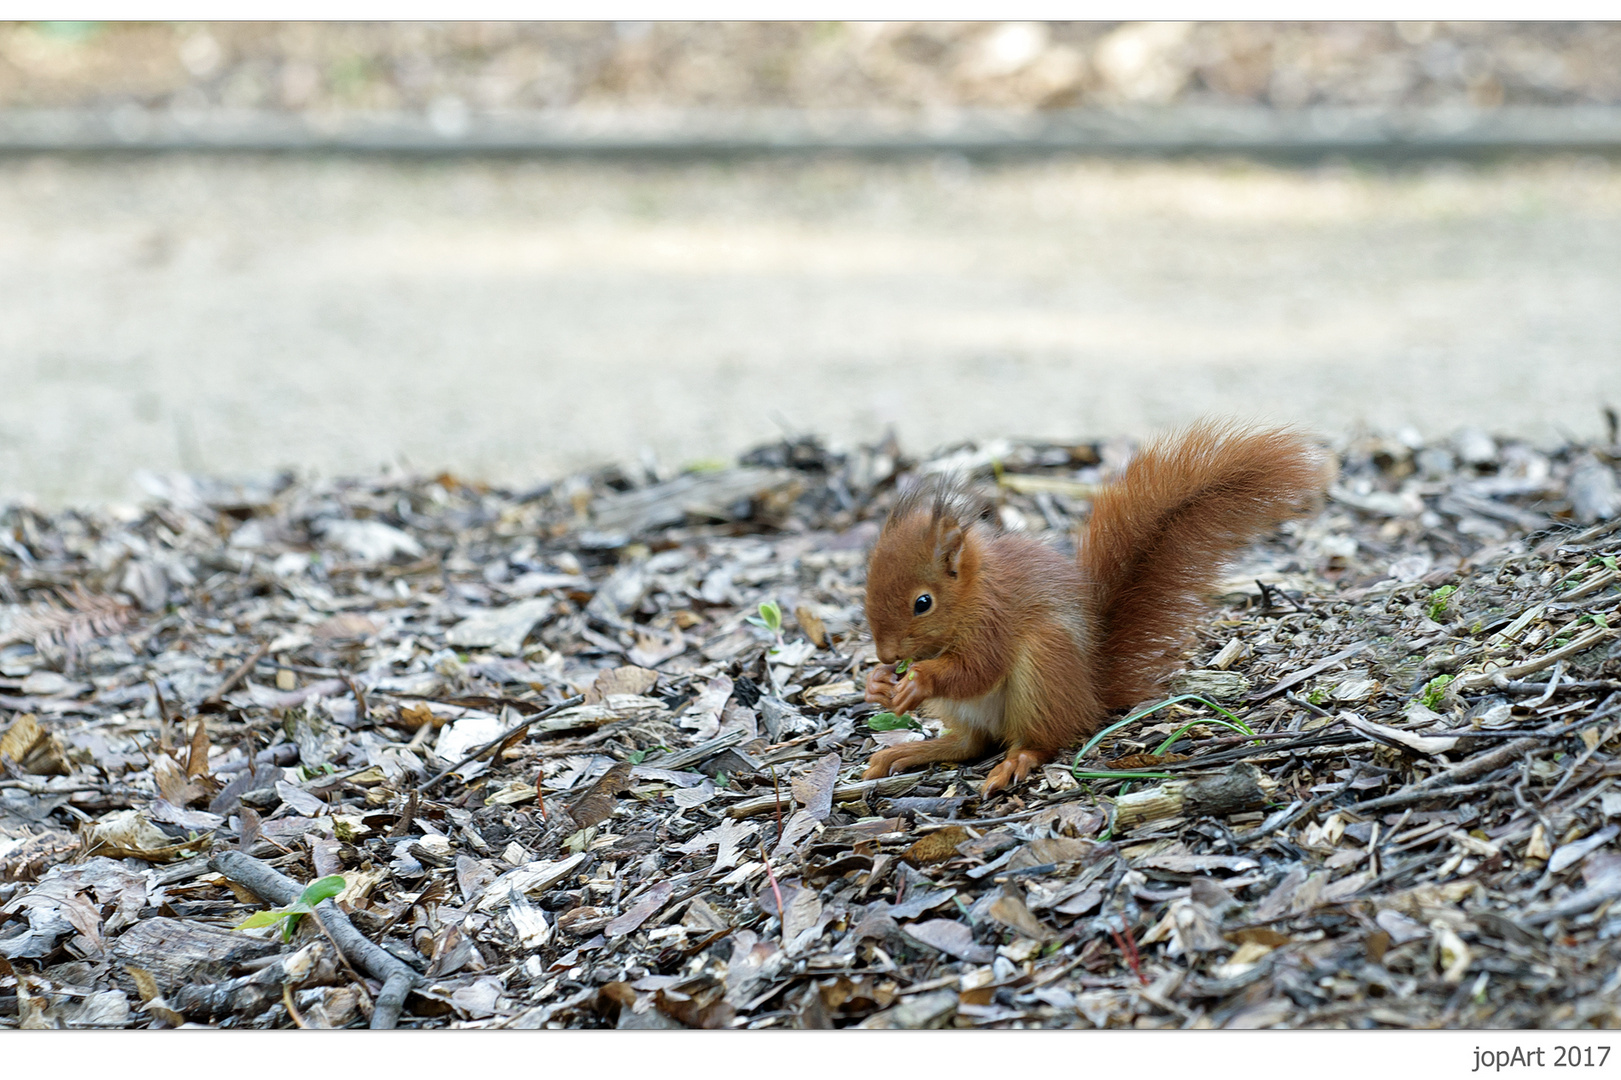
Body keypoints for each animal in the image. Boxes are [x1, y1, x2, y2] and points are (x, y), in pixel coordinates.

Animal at [862, 421, 1329, 791]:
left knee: (1040, 741)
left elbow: (978, 669)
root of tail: (1091, 693)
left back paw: (1015, 760)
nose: (886, 655)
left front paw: (918, 679)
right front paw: (878, 684)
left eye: (923, 603)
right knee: (969, 743)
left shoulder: (995, 620)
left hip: (1045, 666)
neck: (972, 595)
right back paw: (904, 753)